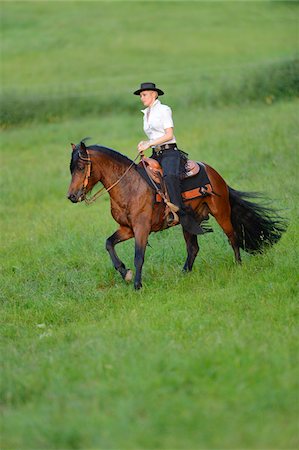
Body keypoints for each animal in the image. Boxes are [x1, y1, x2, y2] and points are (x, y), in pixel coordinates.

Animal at [67, 139, 288, 290]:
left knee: (232, 237)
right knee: (193, 248)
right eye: (71, 168)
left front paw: (137, 285)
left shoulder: (141, 228)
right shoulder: (127, 228)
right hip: (189, 222)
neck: (130, 187)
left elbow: (139, 256)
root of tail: (215, 173)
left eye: (80, 166)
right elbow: (109, 244)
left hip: (221, 212)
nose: (71, 196)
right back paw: (183, 274)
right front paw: (125, 273)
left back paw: (238, 265)